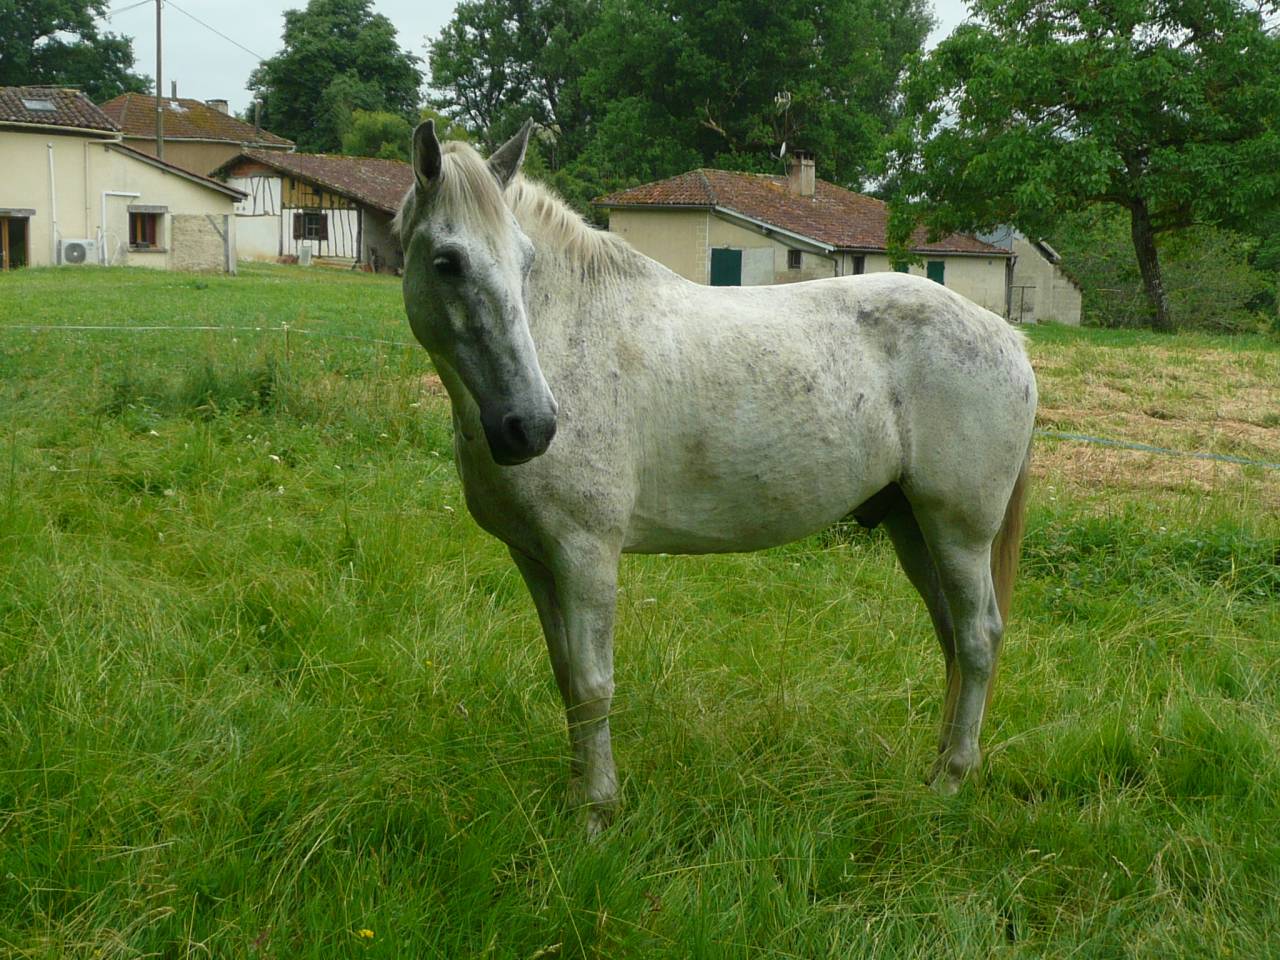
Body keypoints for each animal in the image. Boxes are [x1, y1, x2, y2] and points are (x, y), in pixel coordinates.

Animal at [395, 120, 1037, 835]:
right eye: (447, 262)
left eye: (526, 261)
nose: (529, 427)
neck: (570, 339)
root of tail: (1008, 338)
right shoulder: (534, 557)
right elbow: (566, 679)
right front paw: (574, 795)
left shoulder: (585, 553)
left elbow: (593, 685)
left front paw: (597, 812)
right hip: (912, 527)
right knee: (953, 640)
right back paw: (936, 765)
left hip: (958, 532)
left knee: (978, 640)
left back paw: (951, 779)